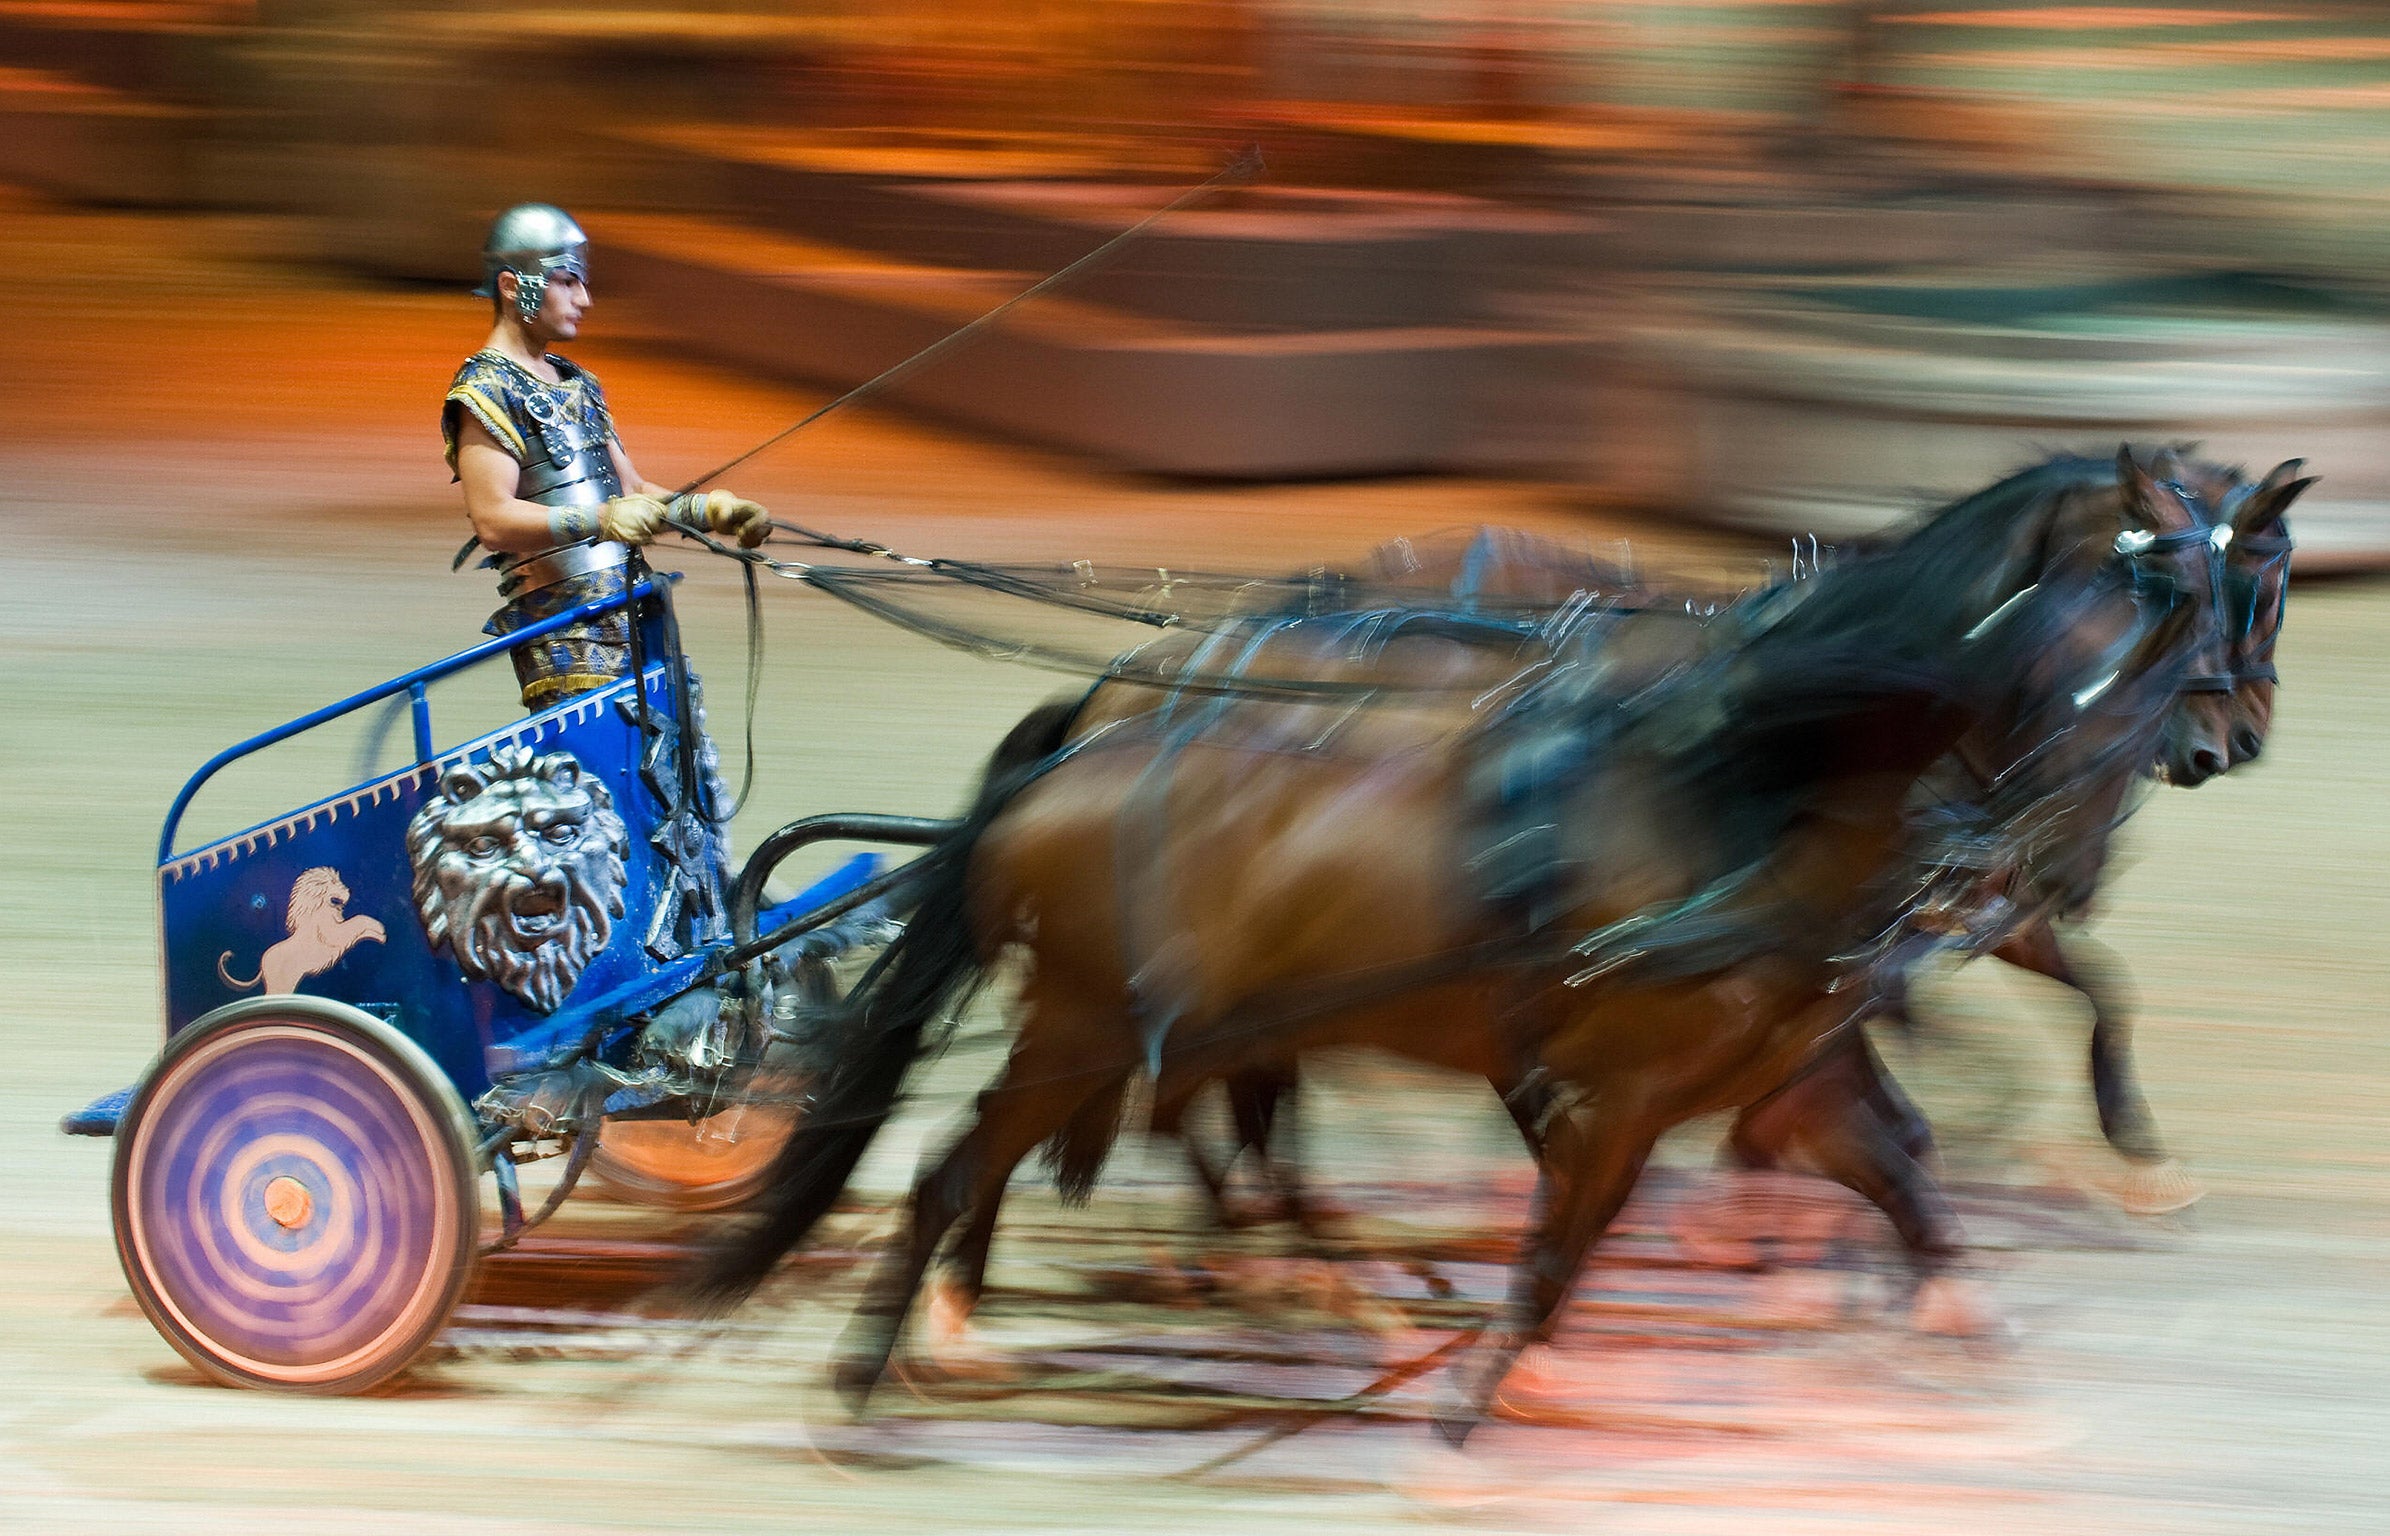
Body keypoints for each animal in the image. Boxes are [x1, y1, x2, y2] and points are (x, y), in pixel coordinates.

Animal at [702, 451, 2237, 1433]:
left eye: (2247, 603)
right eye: (2150, 621)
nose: (2059, 858)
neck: (1738, 791)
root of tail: (1079, 746)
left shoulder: (1795, 1064)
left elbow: (1906, 1176)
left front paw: (1938, 1308)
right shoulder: (1630, 1089)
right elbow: (1565, 1240)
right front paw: (1475, 1406)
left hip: (1156, 1020)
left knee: (1127, 1141)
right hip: (1086, 1021)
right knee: (977, 1162)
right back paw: (904, 1353)